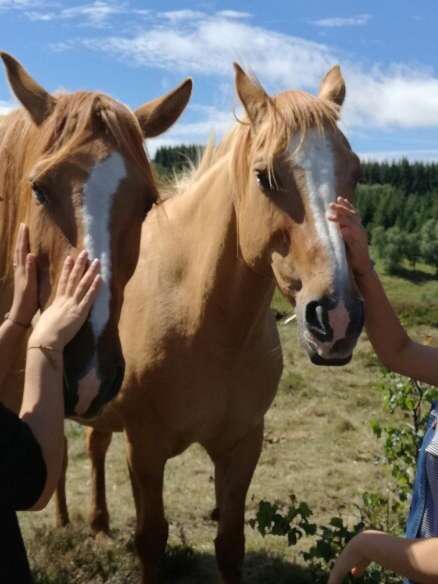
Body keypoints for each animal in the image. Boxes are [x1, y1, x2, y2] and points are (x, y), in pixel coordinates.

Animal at [55, 64, 362, 584]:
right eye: (264, 176)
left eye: (356, 171)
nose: (336, 316)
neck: (205, 323)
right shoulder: (146, 448)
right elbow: (151, 538)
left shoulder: (242, 445)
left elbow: (230, 544)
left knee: (94, 446)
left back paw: (98, 523)